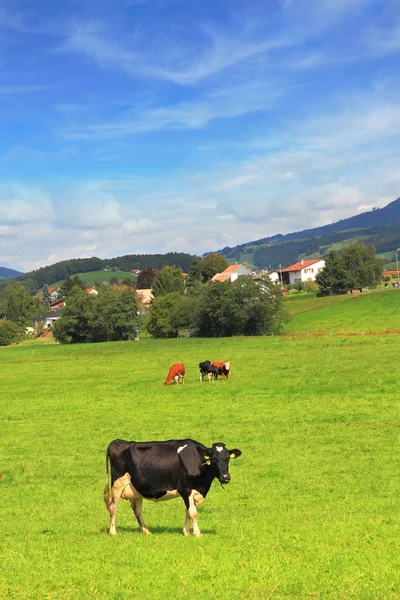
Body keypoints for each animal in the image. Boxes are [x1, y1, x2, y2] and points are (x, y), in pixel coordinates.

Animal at [103, 438, 241, 536]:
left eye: (227, 458)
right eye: (214, 459)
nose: (225, 477)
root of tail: (117, 441)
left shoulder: (192, 491)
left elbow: (187, 511)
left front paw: (186, 532)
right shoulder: (185, 489)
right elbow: (193, 513)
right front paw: (197, 533)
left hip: (137, 488)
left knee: (137, 509)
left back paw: (146, 531)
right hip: (117, 484)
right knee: (113, 507)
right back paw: (113, 532)